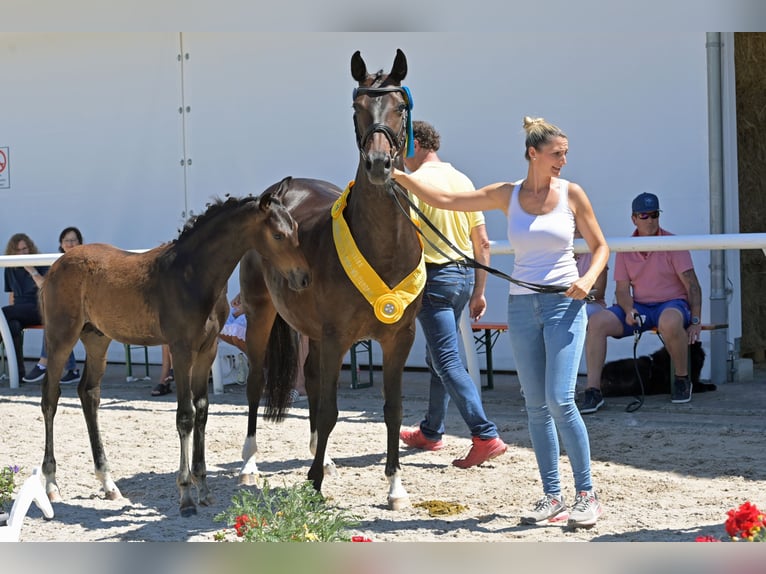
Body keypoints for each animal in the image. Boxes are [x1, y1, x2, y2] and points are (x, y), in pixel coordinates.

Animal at [38, 184, 311, 517]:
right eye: (277, 235)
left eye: (295, 228)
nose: (303, 278)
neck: (192, 275)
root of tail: (57, 264)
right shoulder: (181, 350)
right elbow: (185, 416)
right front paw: (186, 496)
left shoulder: (207, 350)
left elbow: (202, 411)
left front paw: (203, 488)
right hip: (61, 337)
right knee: (50, 397)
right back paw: (51, 484)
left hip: (97, 339)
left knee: (88, 394)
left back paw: (108, 483)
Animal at [238, 49, 422, 509]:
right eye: (357, 109)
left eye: (400, 106)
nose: (379, 165)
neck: (383, 250)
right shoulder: (339, 336)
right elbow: (330, 409)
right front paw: (314, 484)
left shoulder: (400, 337)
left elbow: (392, 409)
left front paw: (395, 487)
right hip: (259, 314)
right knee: (256, 382)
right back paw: (249, 465)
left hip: (312, 331)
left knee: (311, 377)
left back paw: (320, 456)